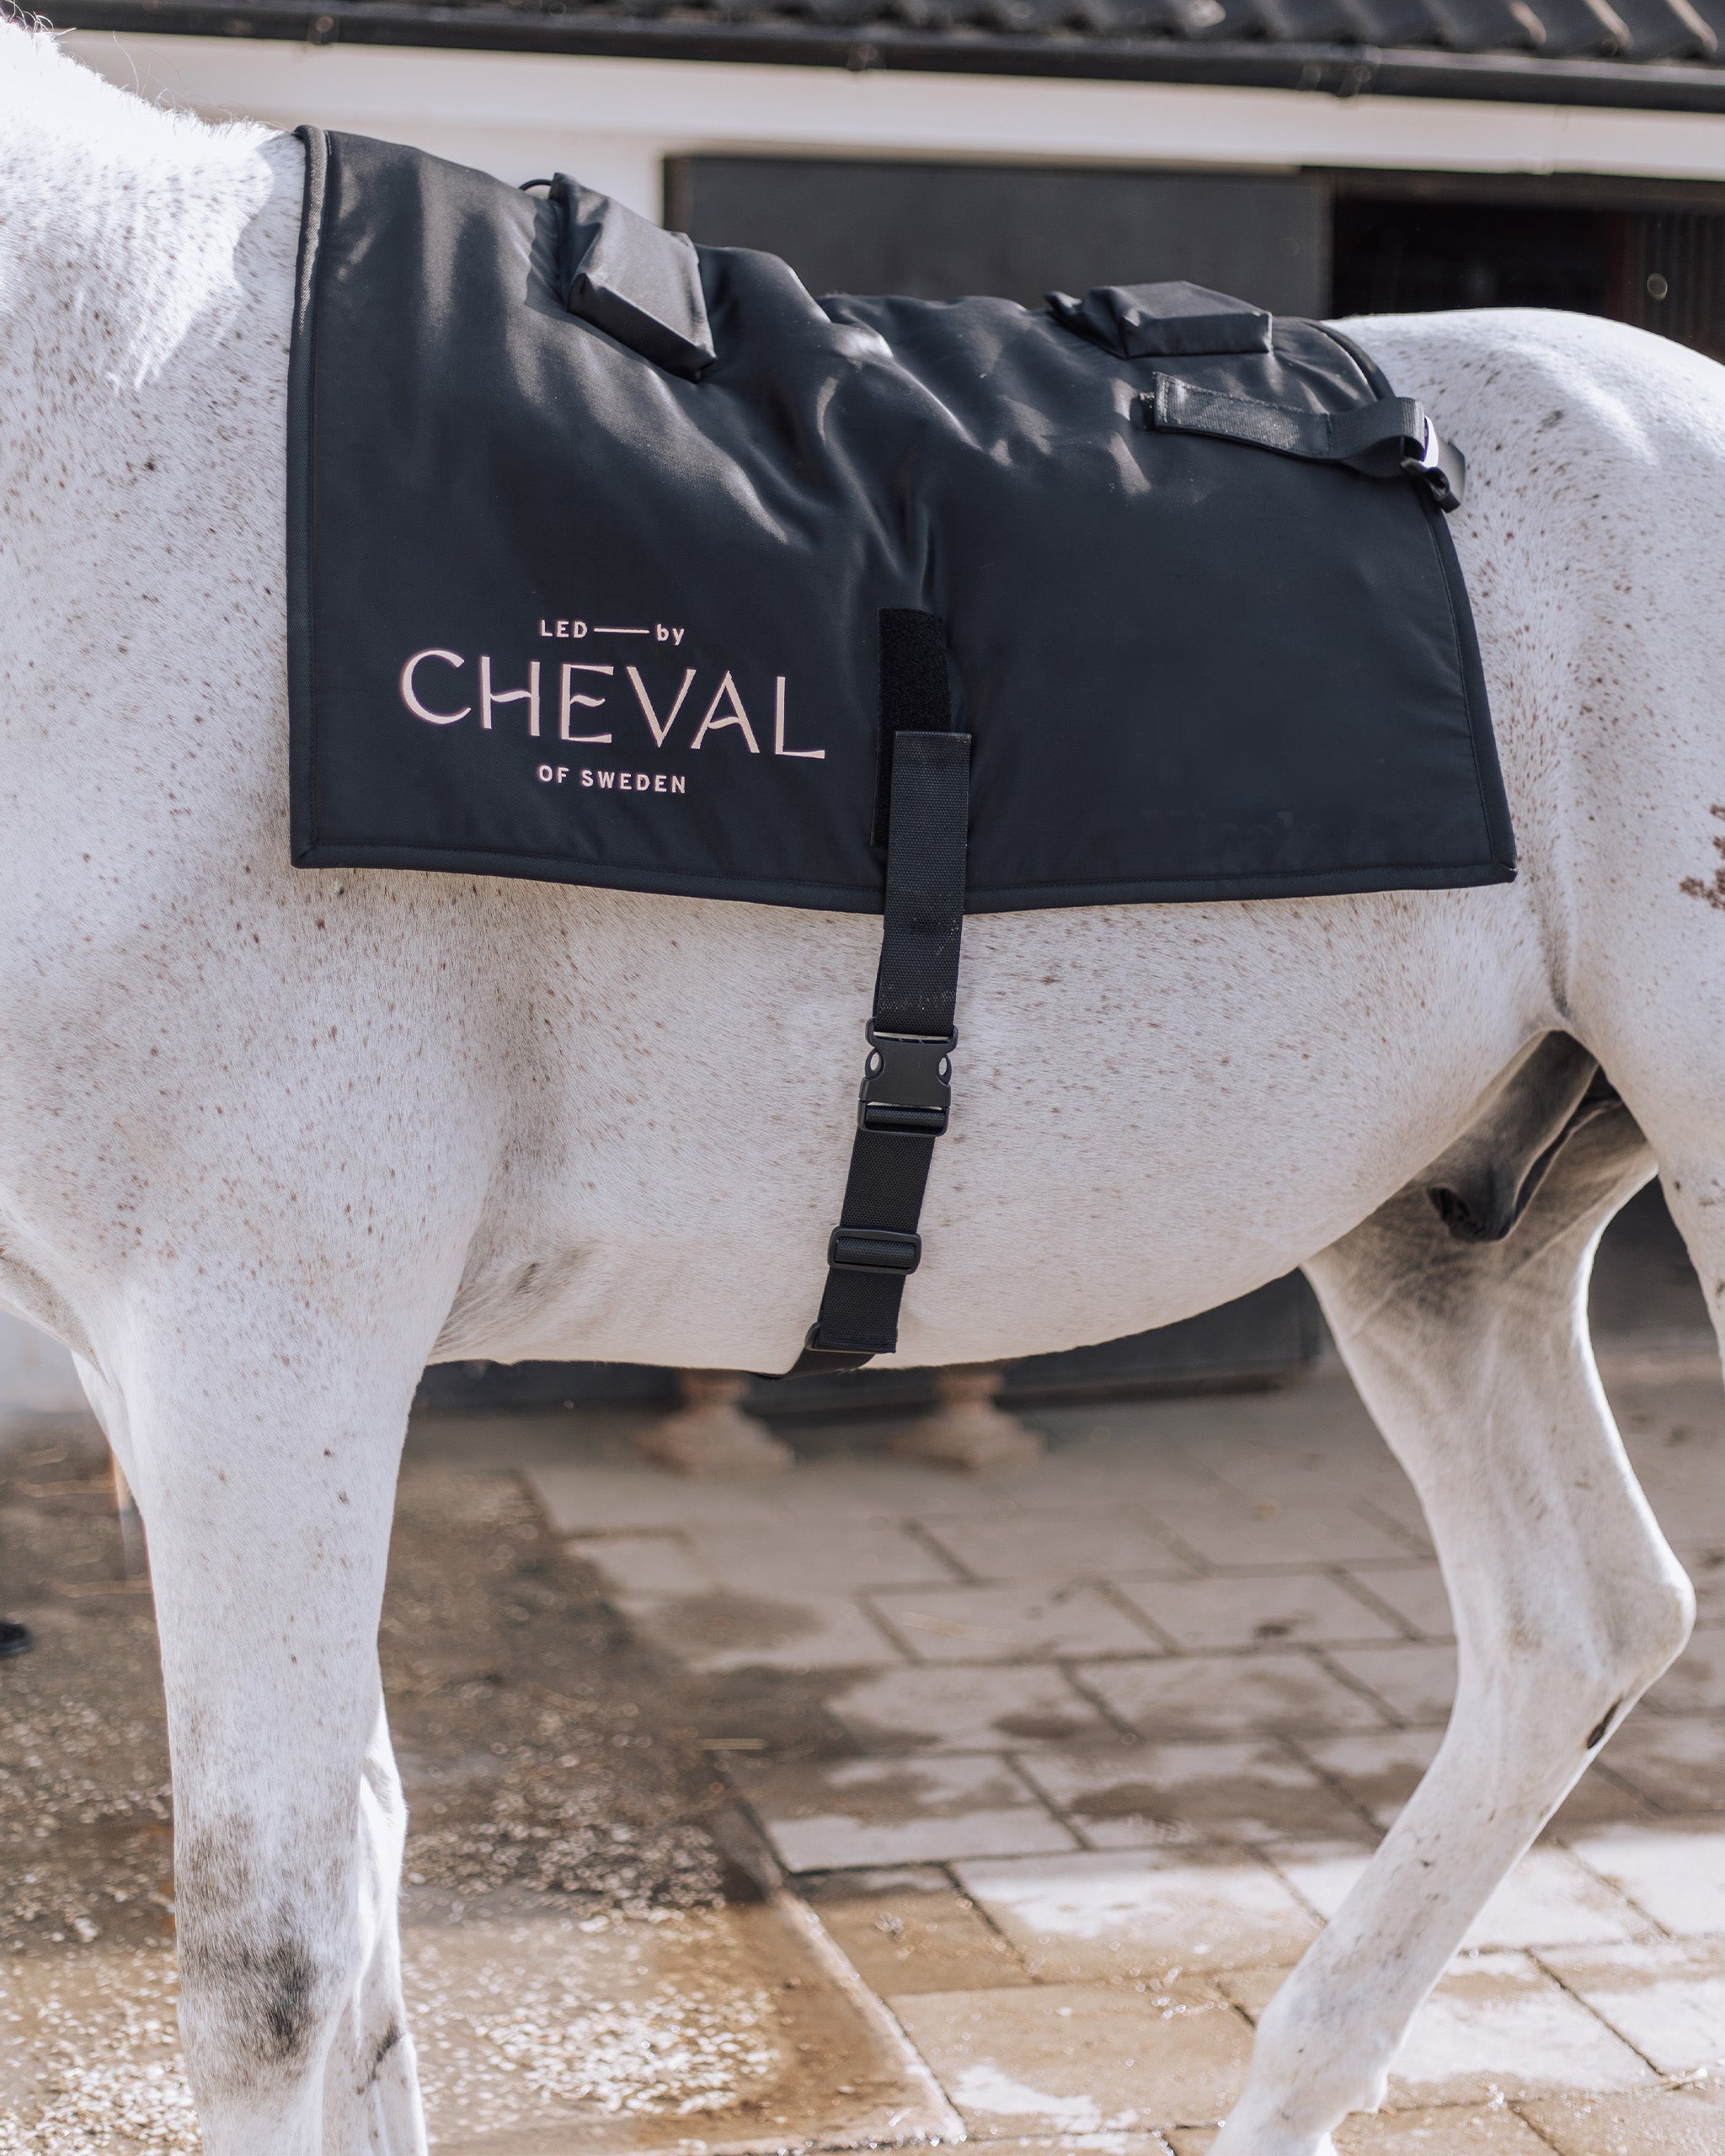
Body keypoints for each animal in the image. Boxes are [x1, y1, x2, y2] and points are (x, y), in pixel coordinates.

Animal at [2, 23, 1717, 2151]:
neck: (113, 423)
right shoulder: (171, 1360)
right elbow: (369, 1888)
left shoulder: (269, 1330)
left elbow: (270, 1966)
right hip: (1440, 1243)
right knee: (1574, 1619)